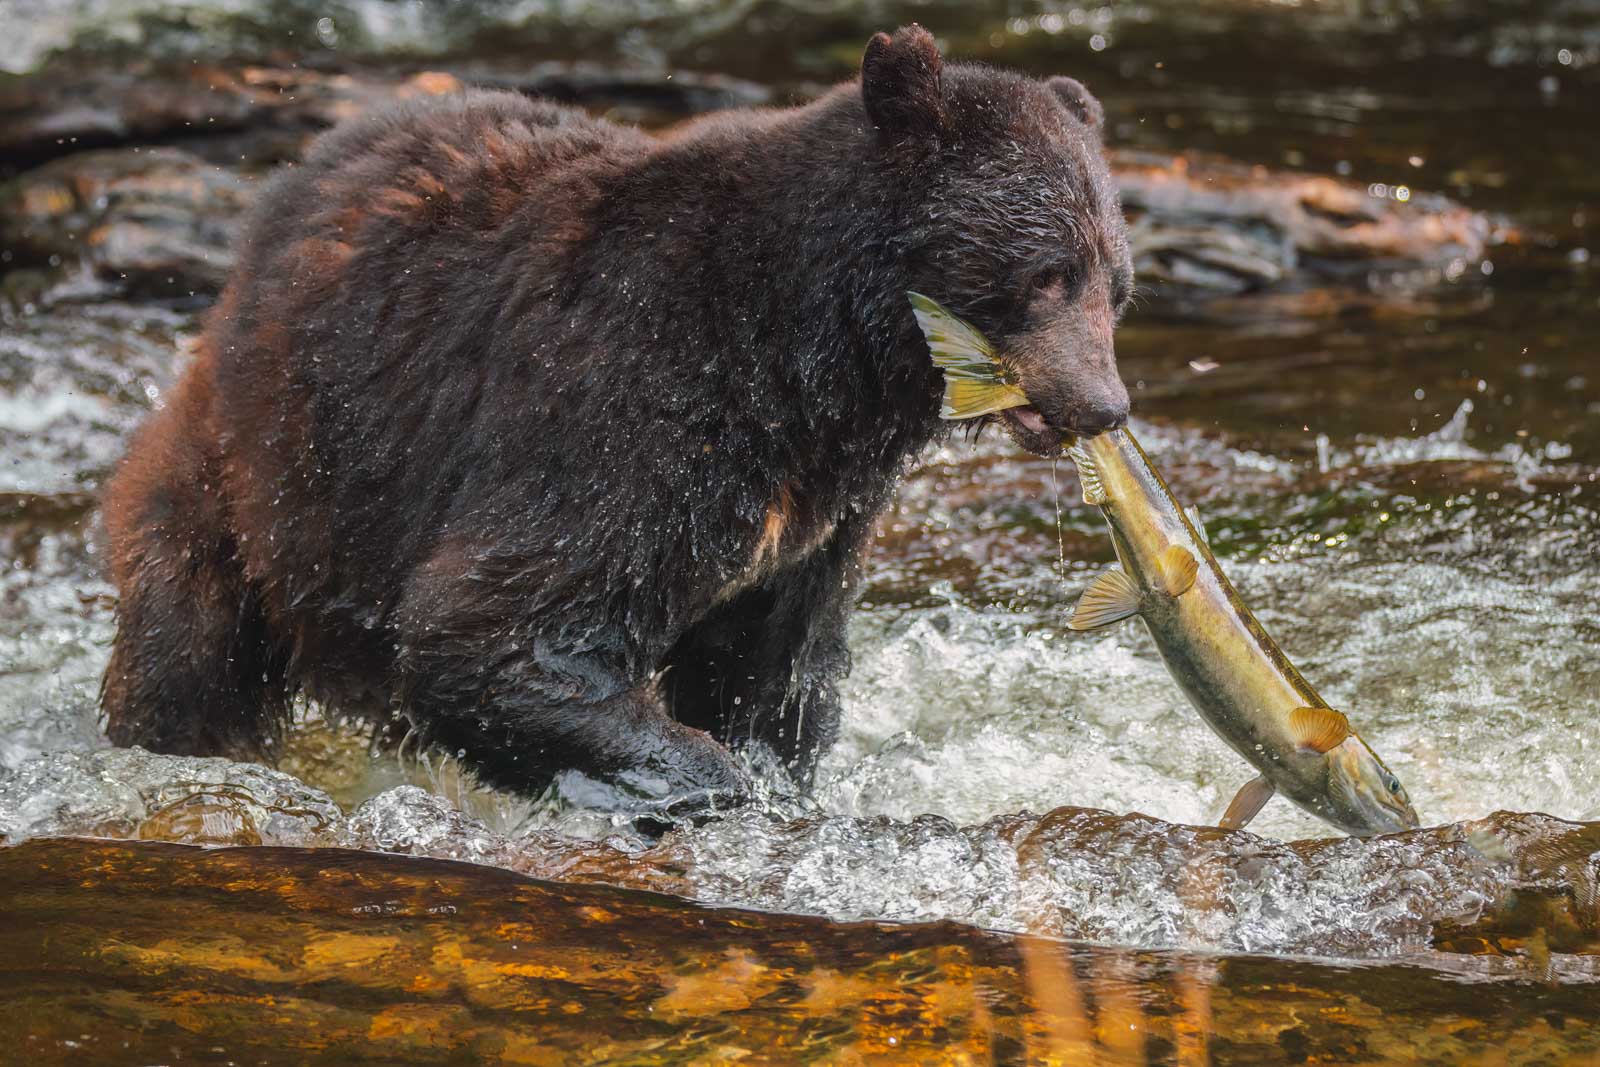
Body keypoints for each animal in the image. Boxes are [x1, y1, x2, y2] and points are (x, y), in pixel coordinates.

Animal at [103, 27, 1126, 809]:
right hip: (269, 471)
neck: (822, 360)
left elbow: (774, 670)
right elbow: (496, 625)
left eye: (1116, 284)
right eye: (1047, 271)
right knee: (189, 647)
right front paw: (696, 779)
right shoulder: (632, 395)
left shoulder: (819, 511)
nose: (1104, 405)